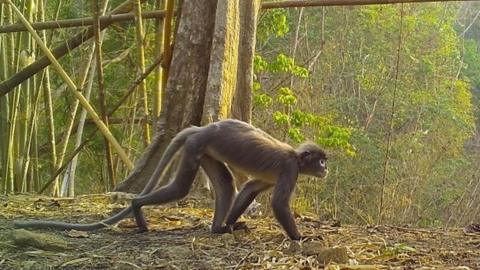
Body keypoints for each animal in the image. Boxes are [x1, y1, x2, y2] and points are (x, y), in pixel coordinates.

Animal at [15, 119, 330, 240]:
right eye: (321, 160)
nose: (326, 169)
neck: (296, 157)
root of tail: (203, 128)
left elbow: (251, 187)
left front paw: (231, 223)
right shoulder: (289, 169)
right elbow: (278, 204)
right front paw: (301, 237)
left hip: (204, 151)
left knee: (225, 183)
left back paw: (218, 228)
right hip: (196, 147)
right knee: (180, 188)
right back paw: (138, 208)